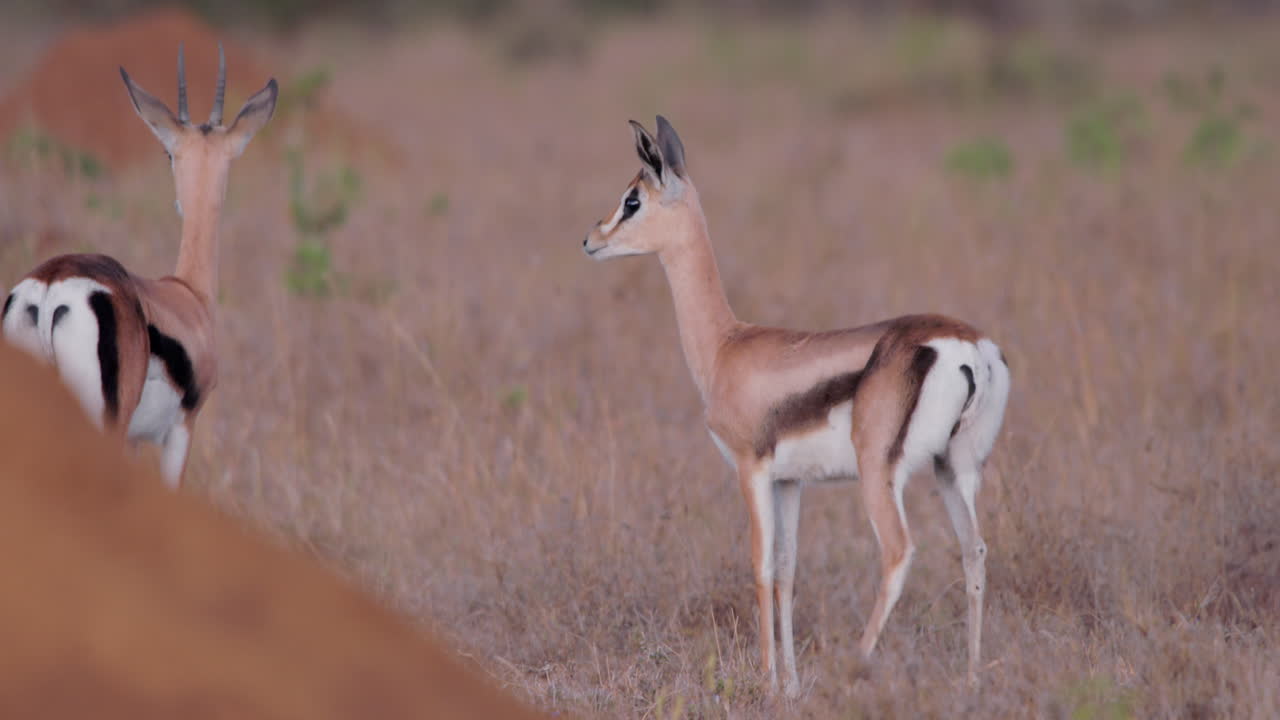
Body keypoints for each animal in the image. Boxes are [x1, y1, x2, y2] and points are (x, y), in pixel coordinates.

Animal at [582, 117, 1011, 697]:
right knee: (974, 550)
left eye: (633, 199)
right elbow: (788, 569)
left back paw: (853, 668)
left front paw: (767, 680)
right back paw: (970, 679)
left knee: (898, 552)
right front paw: (789, 684)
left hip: (881, 473)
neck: (726, 345)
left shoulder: (751, 469)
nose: (591, 239)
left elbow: (761, 566)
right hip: (955, 468)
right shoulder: (791, 481)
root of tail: (968, 347)